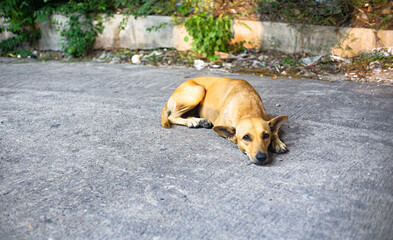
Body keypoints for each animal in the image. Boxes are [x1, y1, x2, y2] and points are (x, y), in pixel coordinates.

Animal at [160, 77, 288, 165]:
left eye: (266, 135)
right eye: (246, 137)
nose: (261, 157)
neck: (248, 111)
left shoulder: (268, 117)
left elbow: (275, 131)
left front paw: (277, 142)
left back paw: (198, 121)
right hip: (198, 91)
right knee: (172, 117)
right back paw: (193, 122)